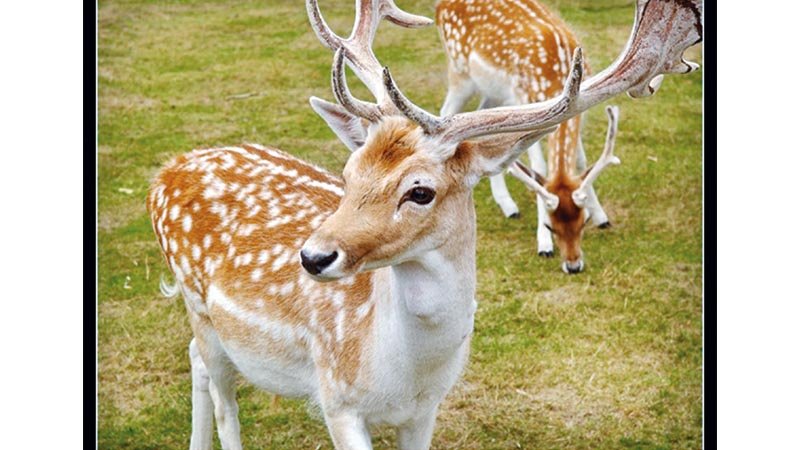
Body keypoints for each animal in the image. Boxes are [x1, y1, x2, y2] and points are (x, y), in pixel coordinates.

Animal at [436, 0, 619, 273]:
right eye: (551, 226)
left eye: (582, 222)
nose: (573, 266)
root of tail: (440, 7)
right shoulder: (528, 104)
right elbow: (538, 168)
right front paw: (544, 245)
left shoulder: (578, 109)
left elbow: (580, 162)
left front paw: (602, 216)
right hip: (460, 72)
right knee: (445, 113)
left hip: (495, 93)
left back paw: (507, 205)